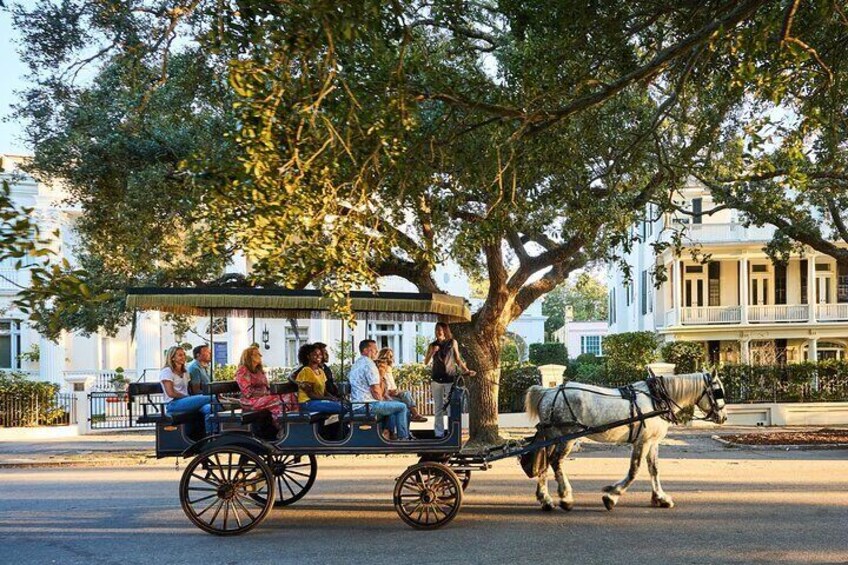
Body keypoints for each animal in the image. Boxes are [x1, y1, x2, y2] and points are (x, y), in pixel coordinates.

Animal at [524, 374, 728, 512]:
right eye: (718, 391)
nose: (724, 417)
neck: (657, 399)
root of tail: (548, 391)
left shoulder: (653, 442)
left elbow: (654, 469)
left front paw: (660, 497)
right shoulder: (642, 441)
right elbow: (634, 471)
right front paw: (611, 495)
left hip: (552, 436)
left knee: (544, 464)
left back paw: (546, 499)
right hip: (567, 437)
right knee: (556, 462)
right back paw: (566, 498)